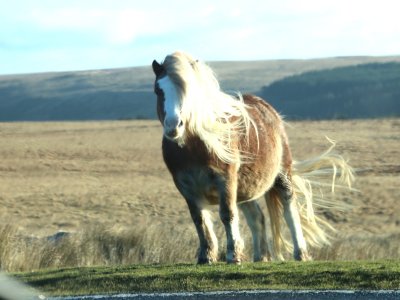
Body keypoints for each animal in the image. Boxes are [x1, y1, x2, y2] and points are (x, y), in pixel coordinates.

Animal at [151, 52, 354, 264]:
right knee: (257, 217)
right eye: (158, 90)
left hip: (282, 176)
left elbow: (227, 214)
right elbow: (199, 220)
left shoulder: (226, 180)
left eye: (191, 91)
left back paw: (301, 253)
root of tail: (268, 109)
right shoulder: (186, 187)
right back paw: (261, 256)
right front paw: (206, 256)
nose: (174, 125)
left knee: (290, 210)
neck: (193, 148)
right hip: (245, 187)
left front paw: (233, 256)